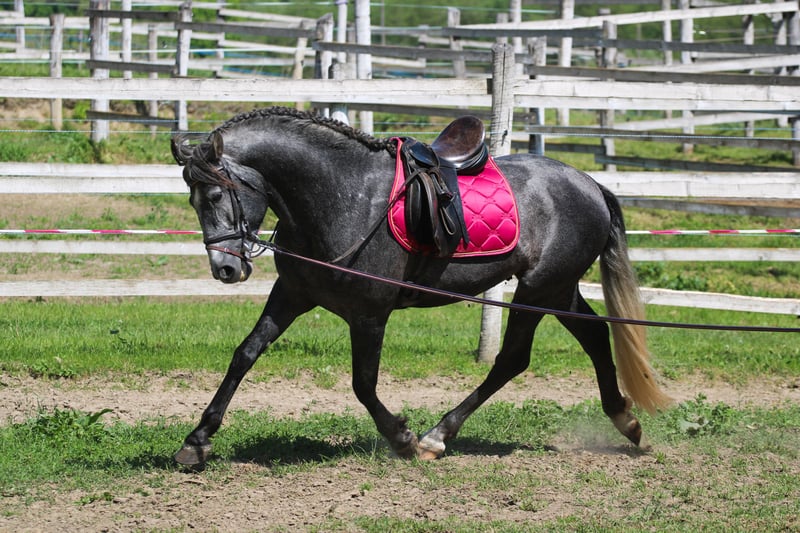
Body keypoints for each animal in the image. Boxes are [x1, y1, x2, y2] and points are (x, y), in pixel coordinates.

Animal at [170, 106, 671, 466]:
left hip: (539, 291)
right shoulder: (293, 295)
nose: (225, 269)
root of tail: (589, 184)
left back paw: (437, 436)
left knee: (512, 359)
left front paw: (403, 438)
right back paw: (626, 422)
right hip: (558, 289)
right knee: (594, 335)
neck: (342, 194)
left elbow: (363, 384)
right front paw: (197, 440)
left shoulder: (369, 314)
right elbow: (245, 354)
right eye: (193, 199)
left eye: (215, 194)